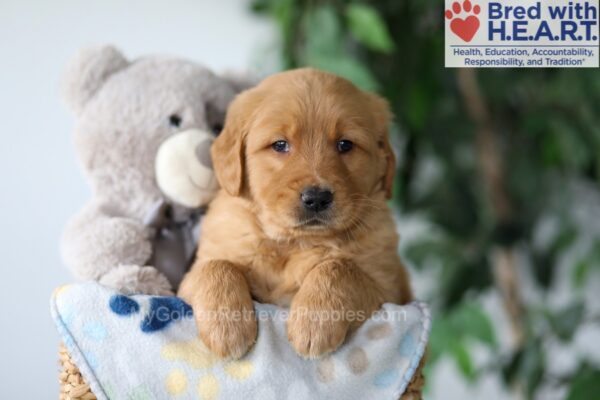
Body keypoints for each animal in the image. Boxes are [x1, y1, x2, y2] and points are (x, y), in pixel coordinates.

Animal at [178, 68, 412, 360]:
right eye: (280, 145)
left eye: (345, 144)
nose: (317, 198)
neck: (294, 243)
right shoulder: (190, 277)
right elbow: (216, 266)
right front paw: (227, 328)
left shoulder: (390, 291)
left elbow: (338, 268)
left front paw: (314, 323)